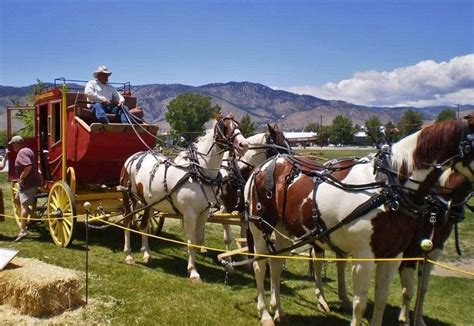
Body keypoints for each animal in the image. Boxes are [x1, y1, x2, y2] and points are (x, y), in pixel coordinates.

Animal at [120, 113, 250, 282]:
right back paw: (128, 254)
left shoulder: (204, 213)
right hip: (129, 197)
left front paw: (220, 264)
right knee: (127, 222)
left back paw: (146, 253)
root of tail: (133, 157)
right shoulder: (190, 214)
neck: (199, 172)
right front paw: (193, 272)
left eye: (238, 126)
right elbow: (191, 241)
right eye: (224, 127)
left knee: (144, 225)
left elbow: (198, 240)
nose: (243, 145)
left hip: (149, 203)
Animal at [244, 116, 474, 324]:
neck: (388, 189)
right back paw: (265, 314)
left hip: (283, 229)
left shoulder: (395, 255)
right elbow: (360, 304)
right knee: (259, 266)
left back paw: (279, 311)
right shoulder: (365, 256)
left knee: (275, 265)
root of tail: (265, 165)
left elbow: (382, 299)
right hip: (260, 227)